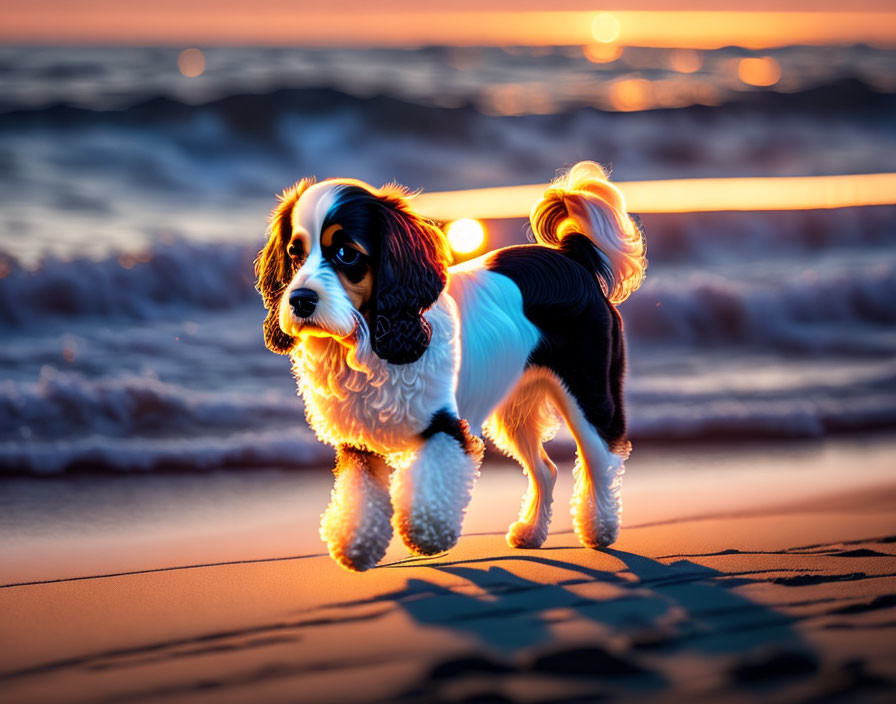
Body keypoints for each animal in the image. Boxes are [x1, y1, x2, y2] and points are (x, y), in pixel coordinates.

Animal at [256, 162, 648, 568]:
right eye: (294, 254)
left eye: (346, 253)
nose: (300, 300)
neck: (365, 342)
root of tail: (572, 257)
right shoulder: (358, 440)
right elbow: (359, 495)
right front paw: (356, 545)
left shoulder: (442, 427)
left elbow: (431, 489)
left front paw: (428, 536)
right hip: (515, 412)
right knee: (546, 469)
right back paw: (532, 531)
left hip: (589, 393)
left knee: (601, 457)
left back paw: (600, 529)